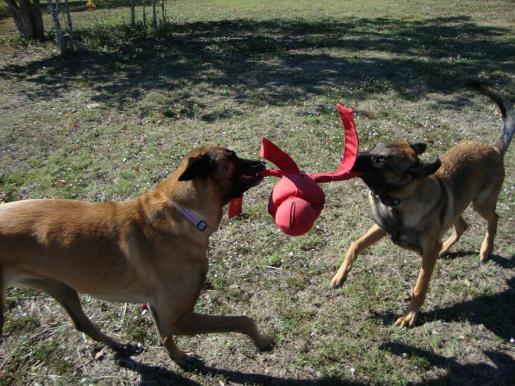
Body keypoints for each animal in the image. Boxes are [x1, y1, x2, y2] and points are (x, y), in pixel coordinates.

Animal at [0, 147, 274, 368]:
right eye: (232, 157)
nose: (261, 164)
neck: (183, 211)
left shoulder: (158, 308)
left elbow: (164, 336)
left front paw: (179, 358)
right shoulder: (177, 317)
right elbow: (242, 320)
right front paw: (262, 341)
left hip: (60, 287)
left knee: (82, 324)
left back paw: (122, 346)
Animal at [332, 83, 512, 328]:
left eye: (380, 160)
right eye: (373, 149)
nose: (347, 156)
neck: (399, 201)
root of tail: (494, 148)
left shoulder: (426, 251)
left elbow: (420, 285)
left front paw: (410, 315)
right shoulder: (381, 227)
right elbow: (355, 245)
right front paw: (339, 276)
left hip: (481, 202)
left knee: (493, 218)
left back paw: (485, 249)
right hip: (457, 206)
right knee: (462, 226)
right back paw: (447, 248)